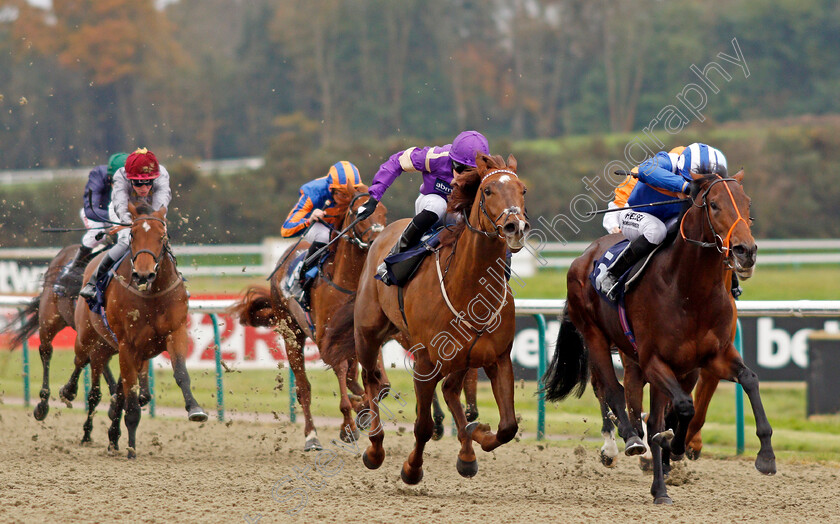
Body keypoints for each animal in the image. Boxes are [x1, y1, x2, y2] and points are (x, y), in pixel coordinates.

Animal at [59, 203, 207, 456]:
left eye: (162, 236)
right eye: (133, 235)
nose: (144, 274)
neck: (152, 295)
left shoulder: (174, 333)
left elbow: (179, 373)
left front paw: (194, 408)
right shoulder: (128, 345)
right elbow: (129, 397)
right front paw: (130, 447)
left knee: (116, 388)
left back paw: (112, 436)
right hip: (89, 338)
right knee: (81, 364)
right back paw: (69, 393)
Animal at [230, 180, 388, 450]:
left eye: (385, 212)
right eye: (361, 213)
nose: (381, 240)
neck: (347, 283)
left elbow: (380, 385)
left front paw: (364, 408)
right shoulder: (326, 342)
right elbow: (343, 376)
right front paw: (348, 425)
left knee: (352, 377)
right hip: (292, 334)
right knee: (304, 388)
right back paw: (312, 435)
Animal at [350, 154, 532, 486]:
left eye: (522, 189)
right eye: (487, 190)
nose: (516, 227)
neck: (469, 290)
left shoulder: (498, 357)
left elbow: (508, 427)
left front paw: (478, 435)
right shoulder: (424, 363)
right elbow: (422, 426)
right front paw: (411, 469)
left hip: (463, 357)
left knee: (449, 390)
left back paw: (468, 452)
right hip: (367, 333)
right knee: (371, 381)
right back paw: (375, 448)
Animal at [544, 171, 776, 504]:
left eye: (747, 203)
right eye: (715, 205)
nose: (746, 251)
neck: (690, 292)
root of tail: (584, 256)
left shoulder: (713, 357)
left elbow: (749, 380)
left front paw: (766, 456)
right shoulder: (653, 360)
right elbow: (682, 408)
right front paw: (671, 445)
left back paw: (659, 484)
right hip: (596, 336)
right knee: (610, 389)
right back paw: (629, 441)